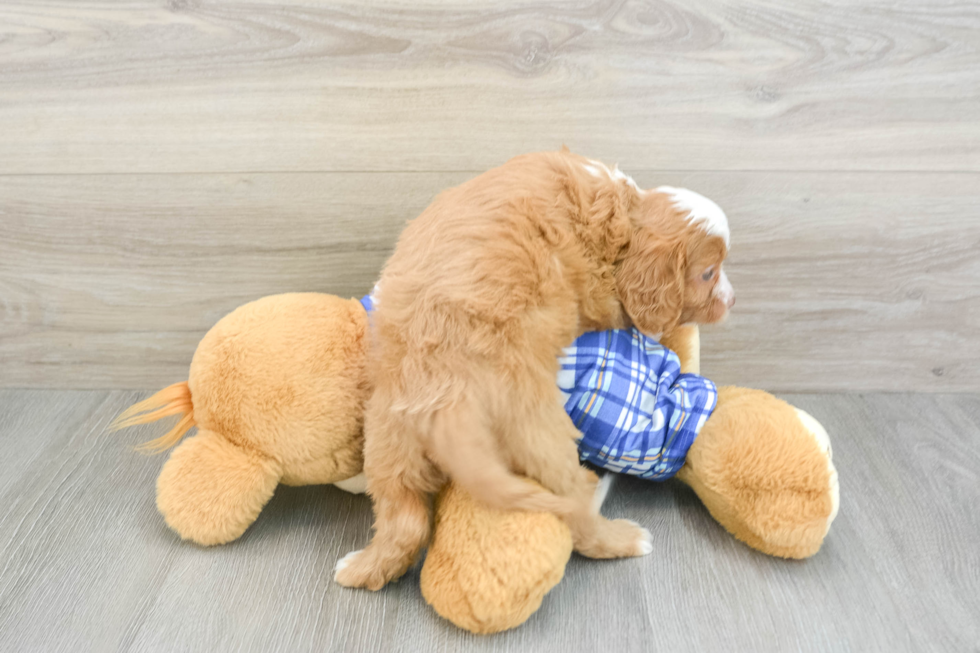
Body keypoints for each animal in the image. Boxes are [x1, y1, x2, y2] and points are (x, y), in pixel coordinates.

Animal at [336, 150, 736, 588]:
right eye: (707, 273)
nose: (733, 299)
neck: (627, 216)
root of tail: (446, 399)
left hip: (387, 435)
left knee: (403, 519)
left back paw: (358, 567)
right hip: (542, 438)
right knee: (576, 510)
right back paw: (625, 540)